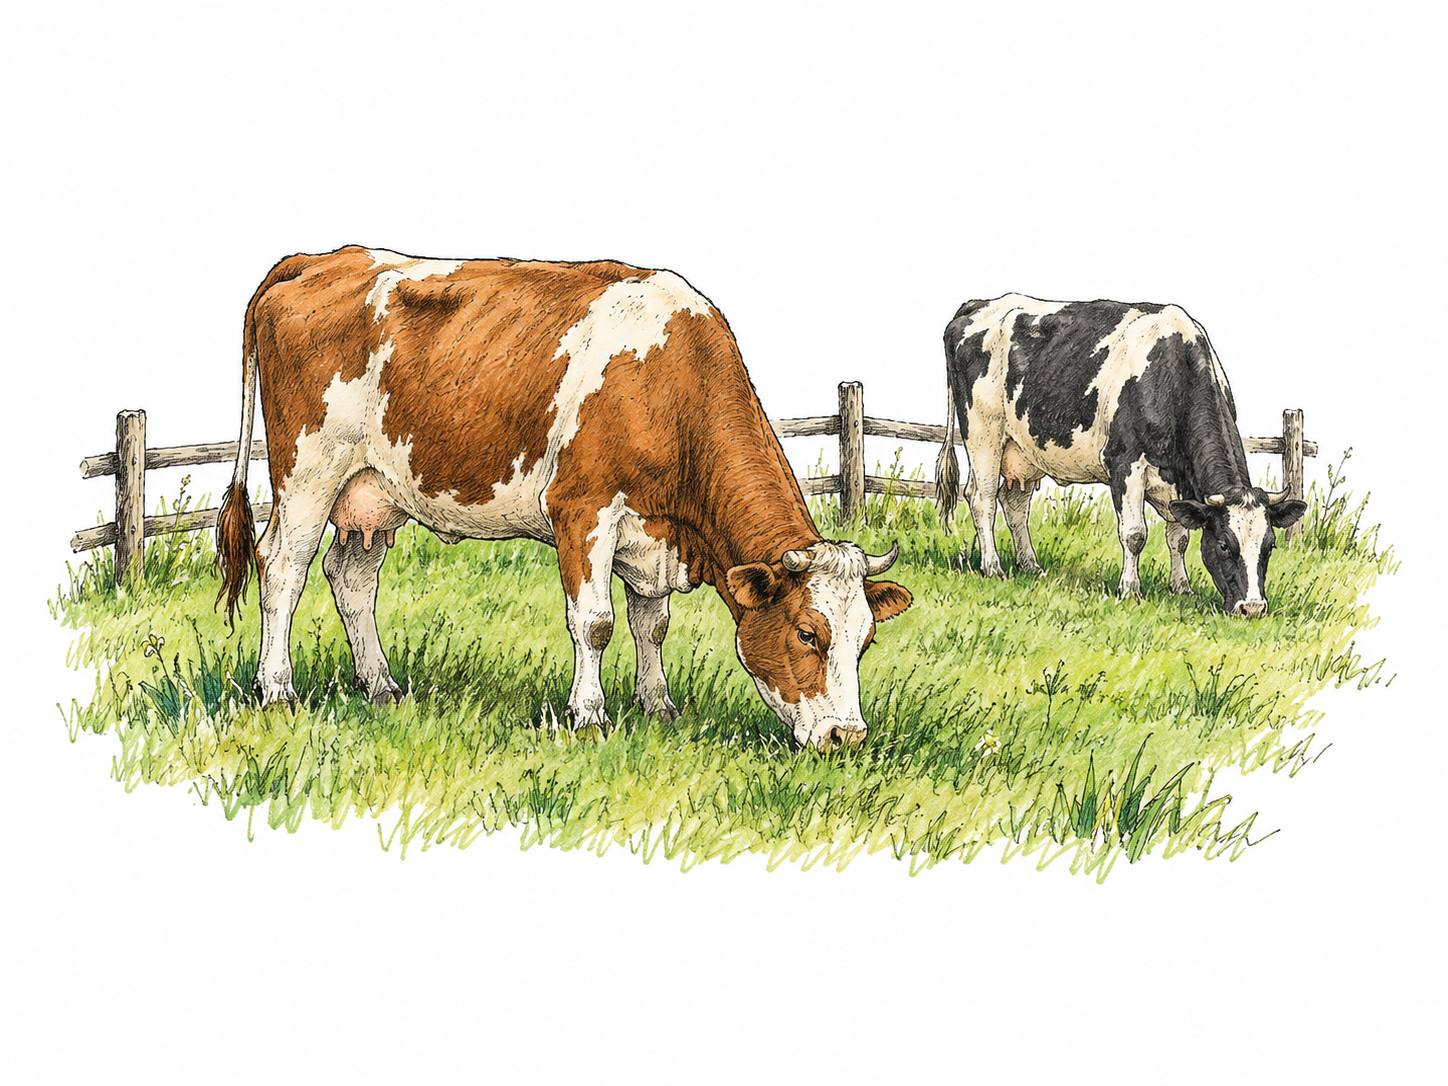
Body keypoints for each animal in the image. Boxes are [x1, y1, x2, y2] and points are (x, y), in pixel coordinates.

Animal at [216, 247, 912, 750]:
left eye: (866, 640)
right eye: (806, 634)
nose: (848, 737)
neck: (669, 387)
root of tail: (321, 259)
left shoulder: (653, 535)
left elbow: (652, 624)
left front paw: (658, 706)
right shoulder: (583, 510)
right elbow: (596, 622)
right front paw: (590, 715)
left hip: (373, 491)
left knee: (351, 577)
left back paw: (382, 686)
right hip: (308, 472)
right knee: (283, 569)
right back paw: (277, 690)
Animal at [934, 295, 1306, 616]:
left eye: (1270, 546)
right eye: (1225, 545)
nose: (1252, 607)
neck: (1171, 374)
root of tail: (981, 303)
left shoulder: (1179, 484)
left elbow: (1180, 537)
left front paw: (1181, 587)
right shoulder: (1125, 463)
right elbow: (1135, 534)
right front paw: (1130, 589)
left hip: (1024, 449)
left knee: (1014, 505)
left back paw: (1030, 565)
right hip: (983, 433)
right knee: (981, 499)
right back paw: (992, 566)